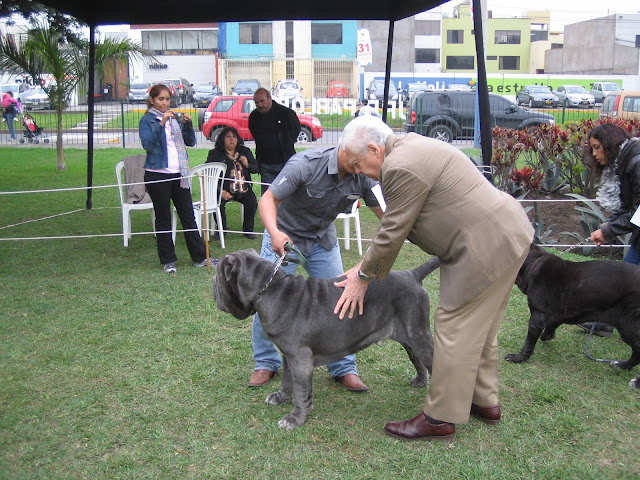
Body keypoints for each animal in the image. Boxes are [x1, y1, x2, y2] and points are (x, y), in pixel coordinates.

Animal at [211, 249, 440, 430]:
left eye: (217, 274)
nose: (212, 282)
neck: (271, 289)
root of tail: (412, 274)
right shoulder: (288, 355)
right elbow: (287, 380)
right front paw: (280, 397)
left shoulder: (301, 358)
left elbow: (301, 391)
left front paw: (295, 419)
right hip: (409, 336)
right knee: (417, 360)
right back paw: (420, 382)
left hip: (419, 336)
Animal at [504, 242, 640, 388]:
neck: (534, 262)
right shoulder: (558, 313)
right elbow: (550, 326)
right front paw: (548, 336)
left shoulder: (537, 318)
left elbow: (529, 342)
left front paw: (519, 358)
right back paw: (622, 365)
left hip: (629, 327)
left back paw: (635, 380)